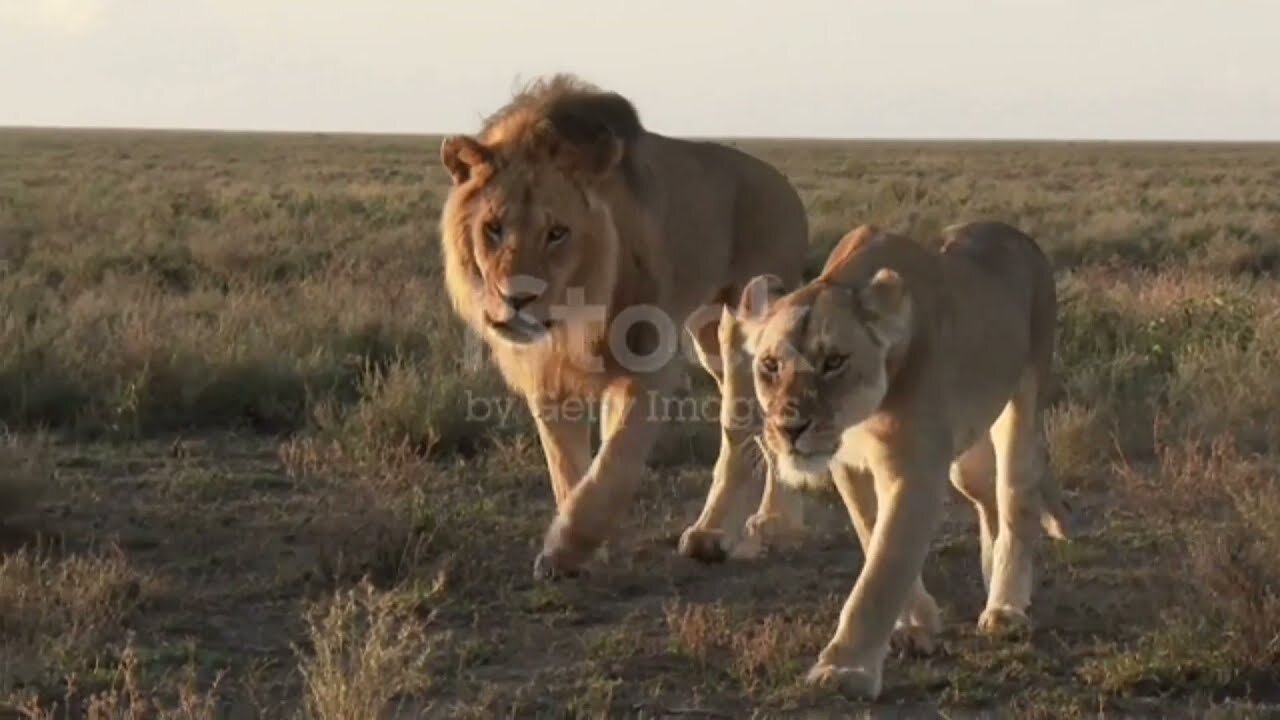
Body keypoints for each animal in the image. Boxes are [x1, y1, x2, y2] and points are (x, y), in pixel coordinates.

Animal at [435, 74, 803, 576]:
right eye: (493, 228)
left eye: (557, 233)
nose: (516, 299)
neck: (575, 313)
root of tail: (786, 186)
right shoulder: (547, 379)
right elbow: (568, 467)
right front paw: (583, 547)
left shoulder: (648, 366)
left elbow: (616, 462)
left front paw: (569, 547)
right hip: (706, 337)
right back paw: (768, 522)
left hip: (744, 324)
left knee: (741, 429)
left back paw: (725, 533)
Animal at [732, 221, 1070, 696]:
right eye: (770, 365)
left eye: (833, 361)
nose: (789, 428)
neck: (862, 417)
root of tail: (1018, 235)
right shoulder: (849, 466)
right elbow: (872, 533)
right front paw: (917, 623)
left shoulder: (916, 469)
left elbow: (884, 567)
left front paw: (845, 669)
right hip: (965, 459)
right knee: (987, 500)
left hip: (1022, 403)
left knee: (1015, 499)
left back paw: (1005, 607)